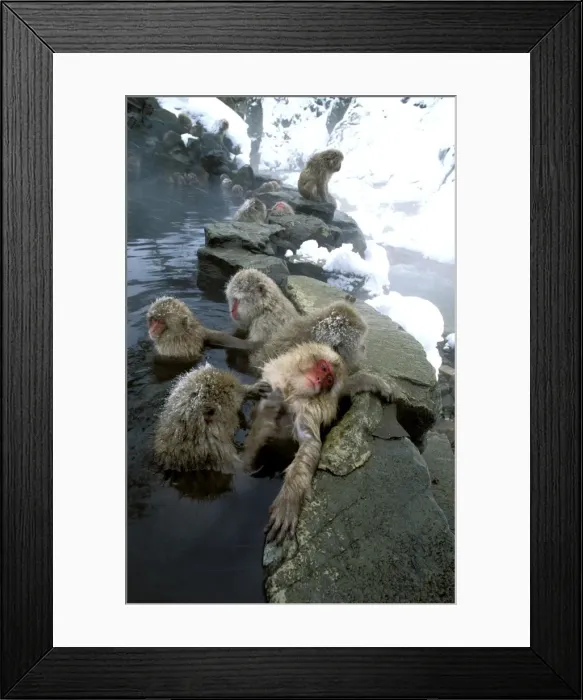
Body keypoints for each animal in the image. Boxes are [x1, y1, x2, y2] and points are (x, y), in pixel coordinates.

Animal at [240, 342, 348, 543]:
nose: (319, 379)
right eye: (323, 368)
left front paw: (289, 499)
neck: (292, 391)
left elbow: (309, 443)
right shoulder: (274, 380)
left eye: (329, 381)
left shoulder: (309, 410)